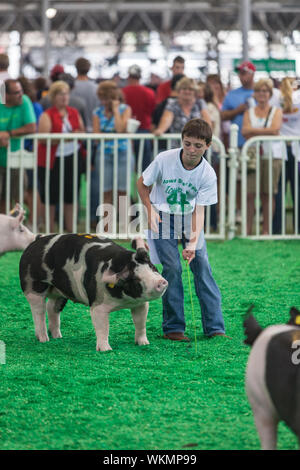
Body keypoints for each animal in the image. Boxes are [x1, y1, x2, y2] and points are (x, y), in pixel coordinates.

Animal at [19, 233, 169, 350]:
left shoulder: (140, 304)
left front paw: (144, 344)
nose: (161, 282)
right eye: (135, 278)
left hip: (60, 293)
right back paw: (44, 339)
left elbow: (140, 323)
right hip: (33, 287)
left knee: (52, 308)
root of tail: (36, 241)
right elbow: (103, 327)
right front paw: (106, 350)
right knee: (38, 312)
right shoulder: (98, 305)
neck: (124, 301)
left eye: (151, 267)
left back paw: (57, 336)